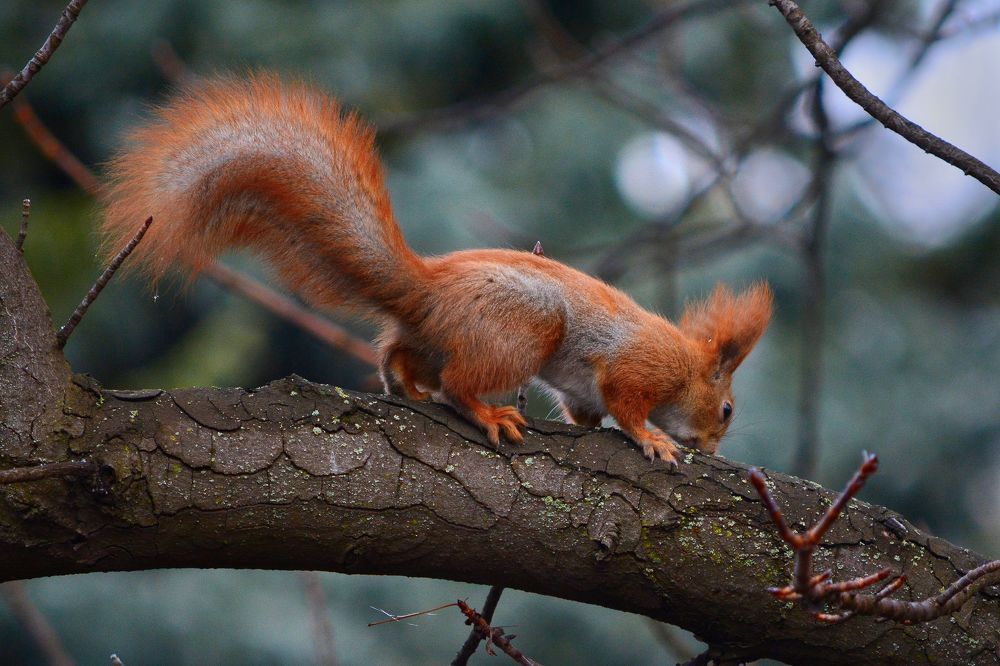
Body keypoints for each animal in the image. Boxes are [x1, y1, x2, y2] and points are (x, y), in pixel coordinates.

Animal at [100, 73, 773, 467]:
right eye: (727, 410)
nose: (715, 450)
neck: (683, 361)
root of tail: (428, 290)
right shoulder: (637, 369)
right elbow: (627, 407)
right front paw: (654, 440)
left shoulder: (584, 389)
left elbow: (587, 411)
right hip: (522, 330)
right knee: (460, 384)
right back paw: (488, 413)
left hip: (434, 336)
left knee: (400, 355)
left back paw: (406, 386)